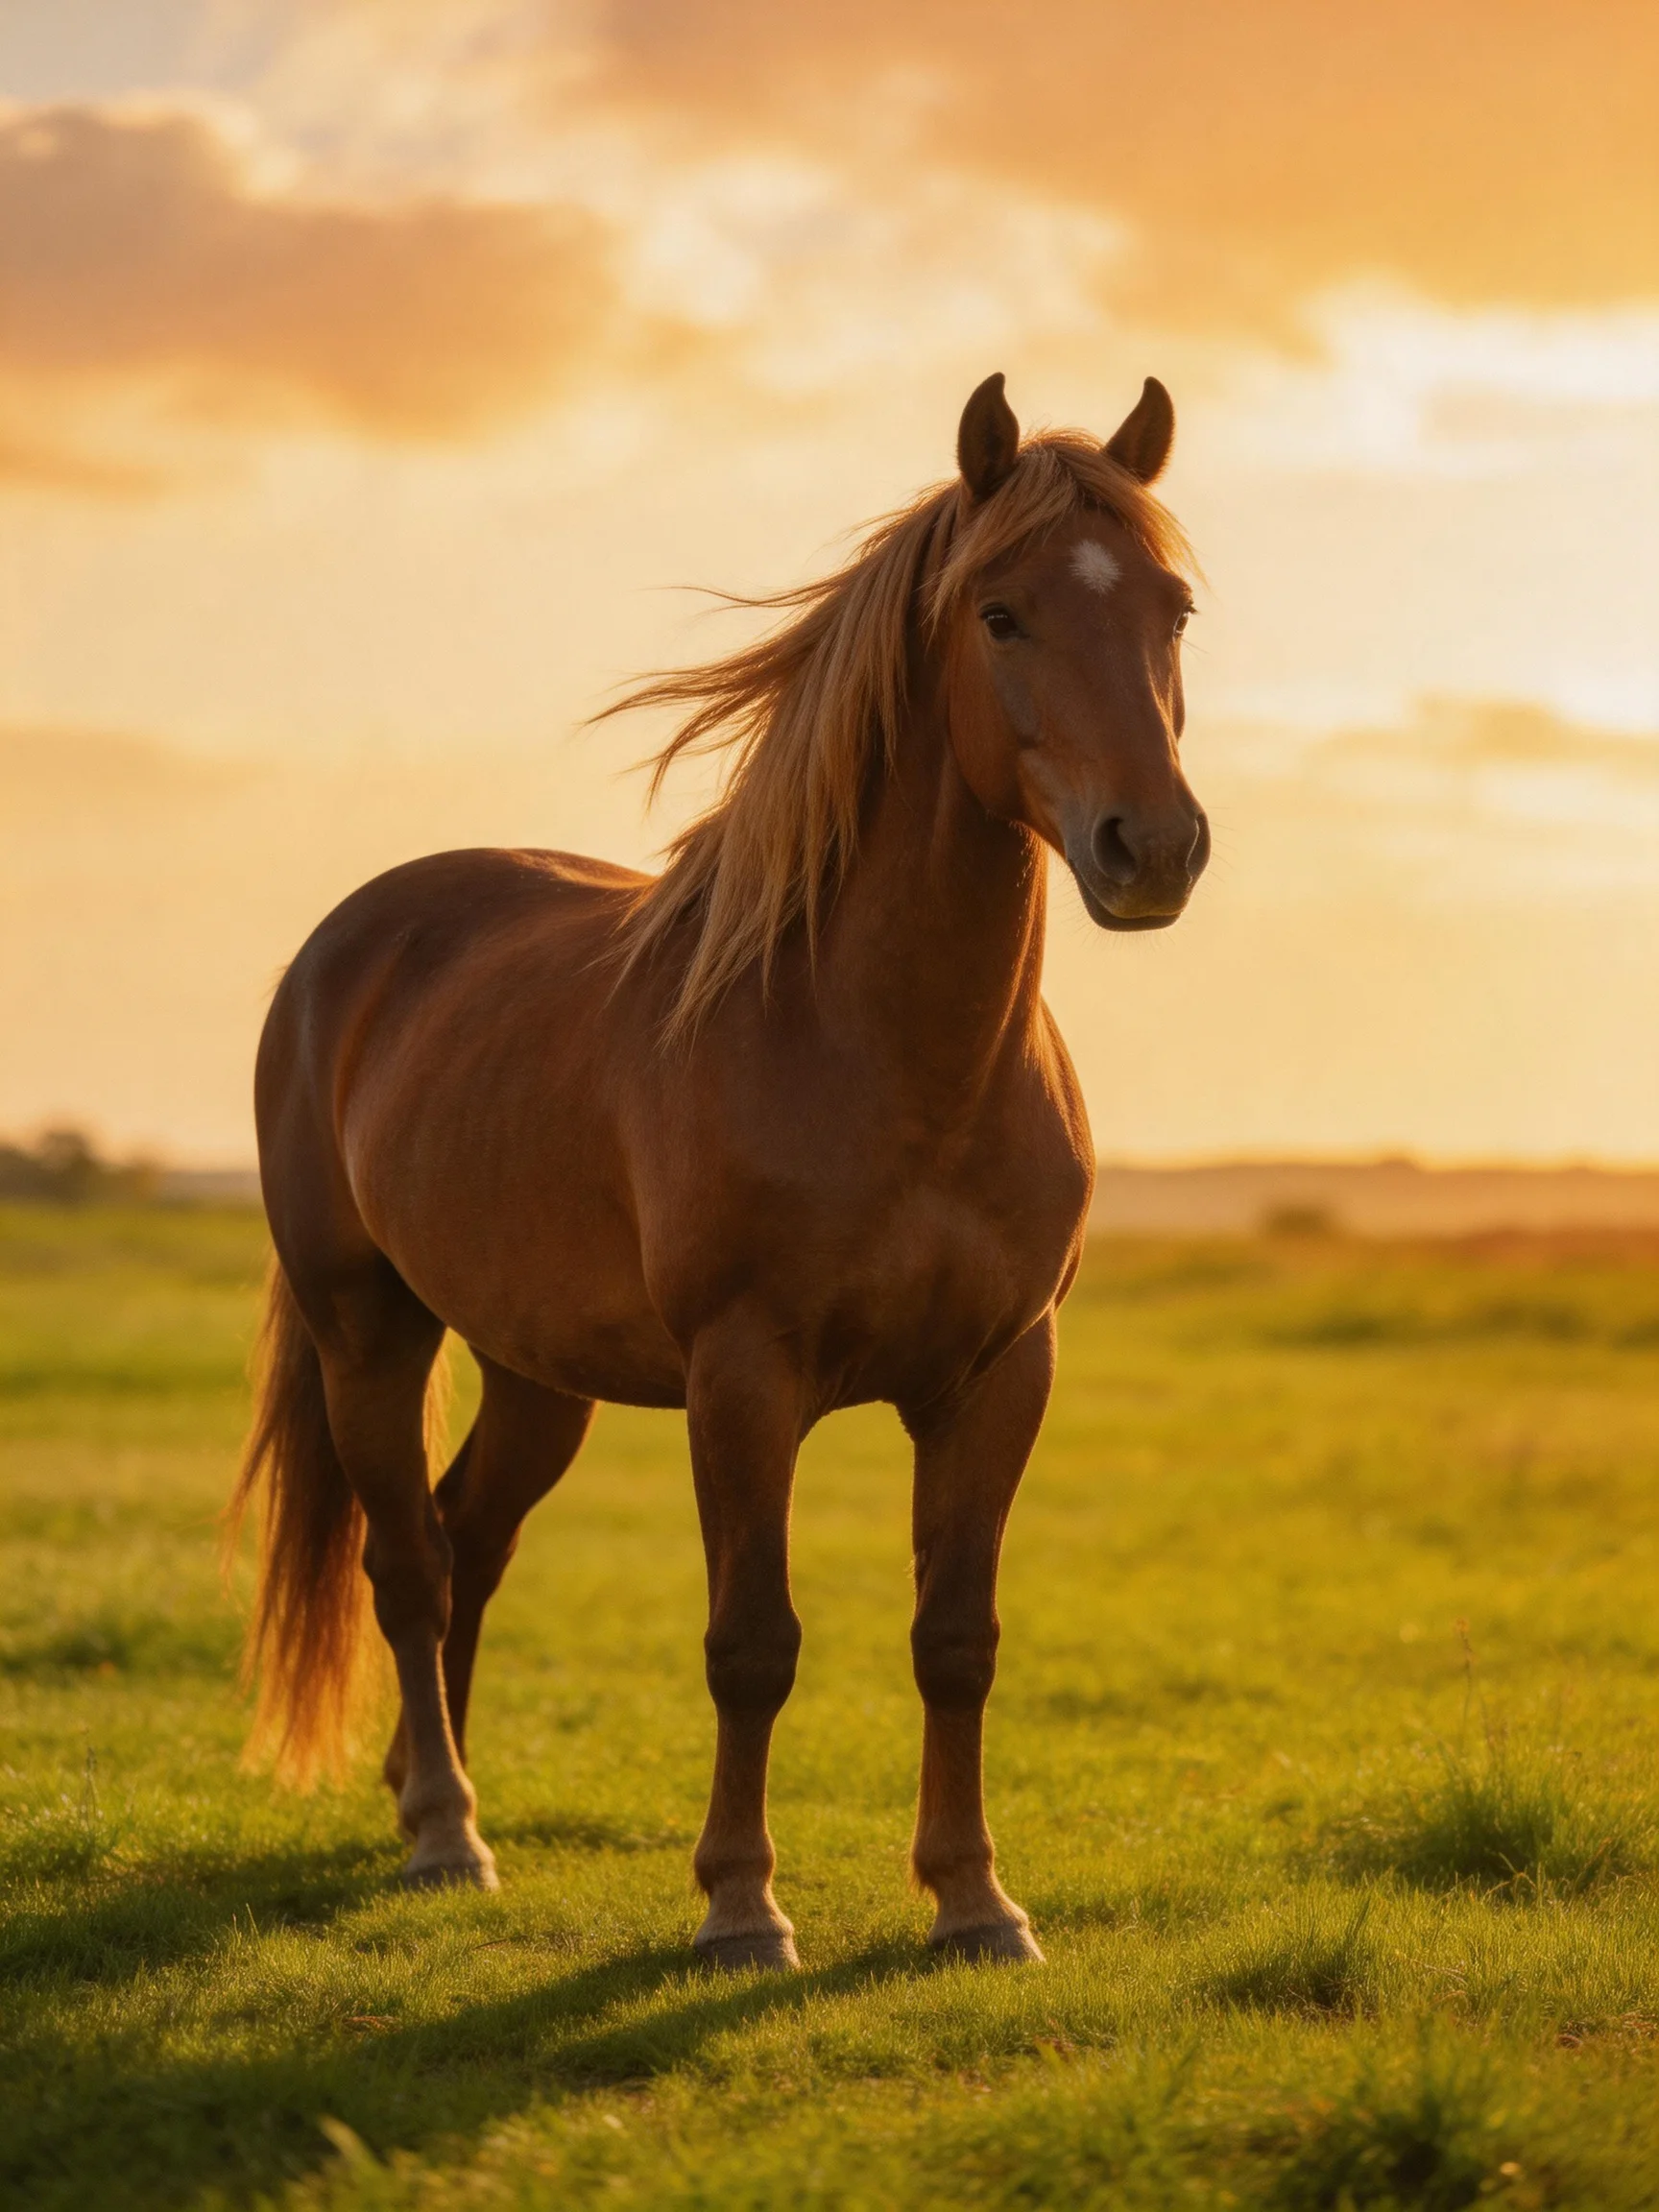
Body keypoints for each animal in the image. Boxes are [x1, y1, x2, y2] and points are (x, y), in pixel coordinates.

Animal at [230, 371, 1208, 1969]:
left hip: (535, 1371)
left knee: (467, 1537)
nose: (1154, 848)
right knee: (409, 1563)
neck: (887, 1055)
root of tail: (347, 946)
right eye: (999, 614)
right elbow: (753, 1645)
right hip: (366, 1331)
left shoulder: (1002, 1373)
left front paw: (973, 1901)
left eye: (1172, 608)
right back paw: (444, 1830)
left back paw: (438, 1797)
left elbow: (957, 1641)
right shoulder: (745, 1380)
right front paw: (743, 1907)